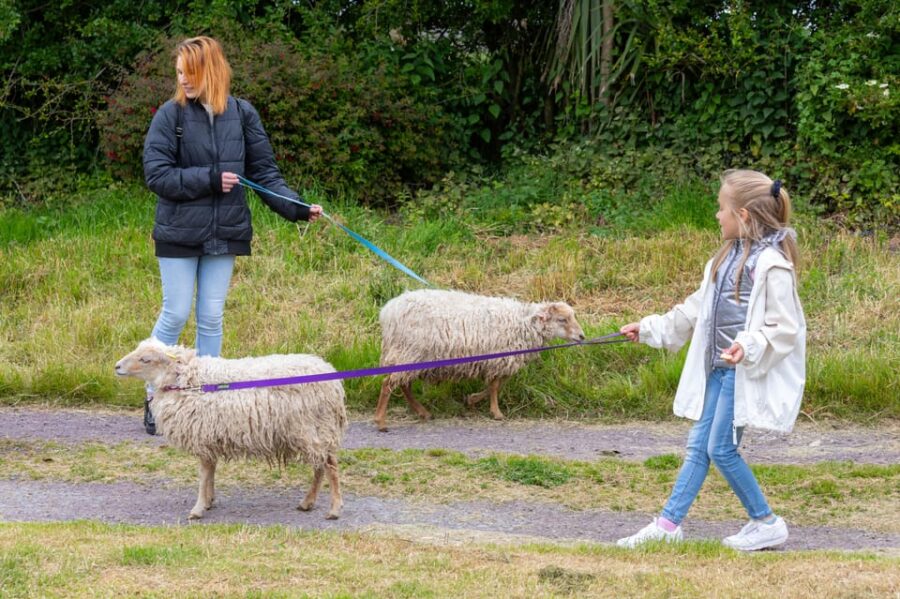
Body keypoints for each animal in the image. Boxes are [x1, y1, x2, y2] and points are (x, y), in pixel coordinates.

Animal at [115, 338, 347, 520]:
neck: (188, 381)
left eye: (146, 359)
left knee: (330, 466)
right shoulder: (210, 436)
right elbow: (210, 471)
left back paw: (334, 509)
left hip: (313, 428)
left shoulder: (202, 434)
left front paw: (198, 508)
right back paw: (307, 502)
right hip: (315, 431)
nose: (116, 367)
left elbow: (204, 474)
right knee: (320, 466)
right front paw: (209, 501)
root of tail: (331, 377)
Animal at [374, 289, 585, 431]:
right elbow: (495, 386)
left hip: (408, 355)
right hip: (409, 351)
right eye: (562, 320)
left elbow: (496, 385)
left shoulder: (497, 360)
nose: (582, 336)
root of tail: (388, 312)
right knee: (388, 384)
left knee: (403, 385)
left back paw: (422, 412)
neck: (523, 322)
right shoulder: (498, 358)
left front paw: (472, 399)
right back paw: (381, 421)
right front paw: (496, 412)